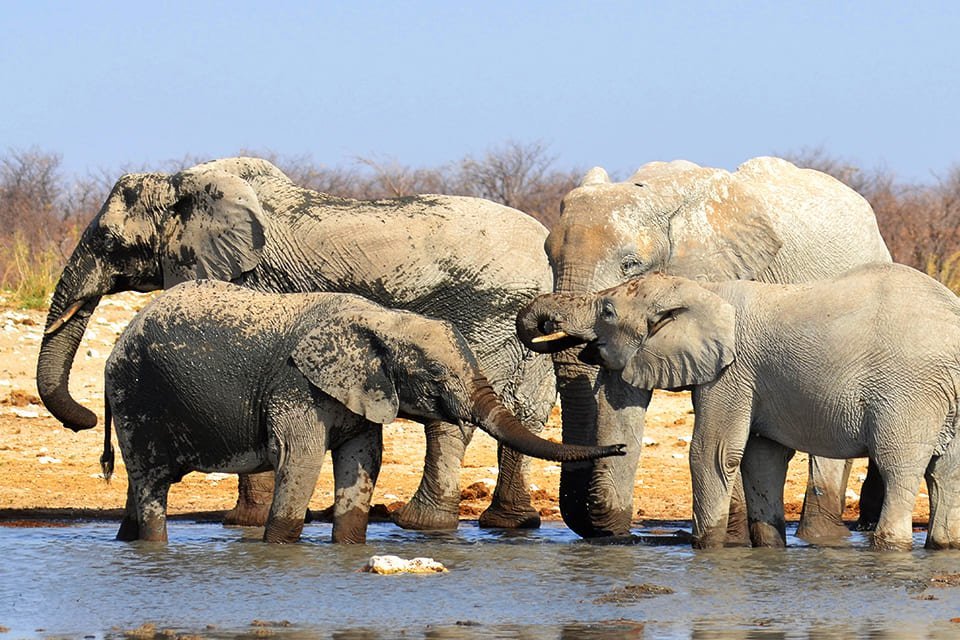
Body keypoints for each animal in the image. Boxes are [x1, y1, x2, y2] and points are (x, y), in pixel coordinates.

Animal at [37, 158, 556, 532]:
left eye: (109, 242)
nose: (86, 419)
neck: (185, 180)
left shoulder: (253, 276)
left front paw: (241, 523)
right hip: (521, 324)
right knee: (526, 412)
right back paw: (508, 524)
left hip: (483, 311)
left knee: (453, 420)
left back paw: (421, 525)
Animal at [99, 278, 624, 540]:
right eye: (437, 378)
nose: (618, 448)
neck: (383, 321)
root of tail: (119, 339)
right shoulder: (295, 385)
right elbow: (300, 461)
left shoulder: (361, 394)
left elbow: (362, 461)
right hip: (135, 393)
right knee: (151, 482)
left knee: (139, 485)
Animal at [520, 262, 960, 552]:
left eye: (608, 312)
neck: (702, 289)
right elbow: (762, 458)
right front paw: (768, 551)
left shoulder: (732, 373)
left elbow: (712, 453)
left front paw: (707, 549)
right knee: (946, 473)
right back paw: (942, 546)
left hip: (909, 393)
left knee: (899, 466)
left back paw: (891, 548)